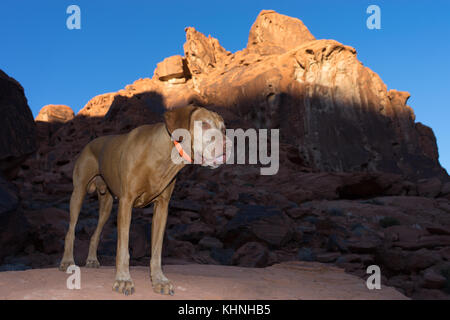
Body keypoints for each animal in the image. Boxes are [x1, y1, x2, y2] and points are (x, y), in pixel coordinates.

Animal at [59, 105, 227, 296]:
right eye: (204, 124)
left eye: (223, 129)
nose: (228, 145)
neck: (163, 156)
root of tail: (90, 143)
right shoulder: (126, 202)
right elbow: (123, 249)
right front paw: (123, 280)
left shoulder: (162, 207)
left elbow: (157, 251)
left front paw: (159, 280)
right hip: (78, 193)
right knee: (71, 230)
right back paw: (67, 261)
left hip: (106, 205)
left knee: (96, 233)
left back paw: (92, 260)